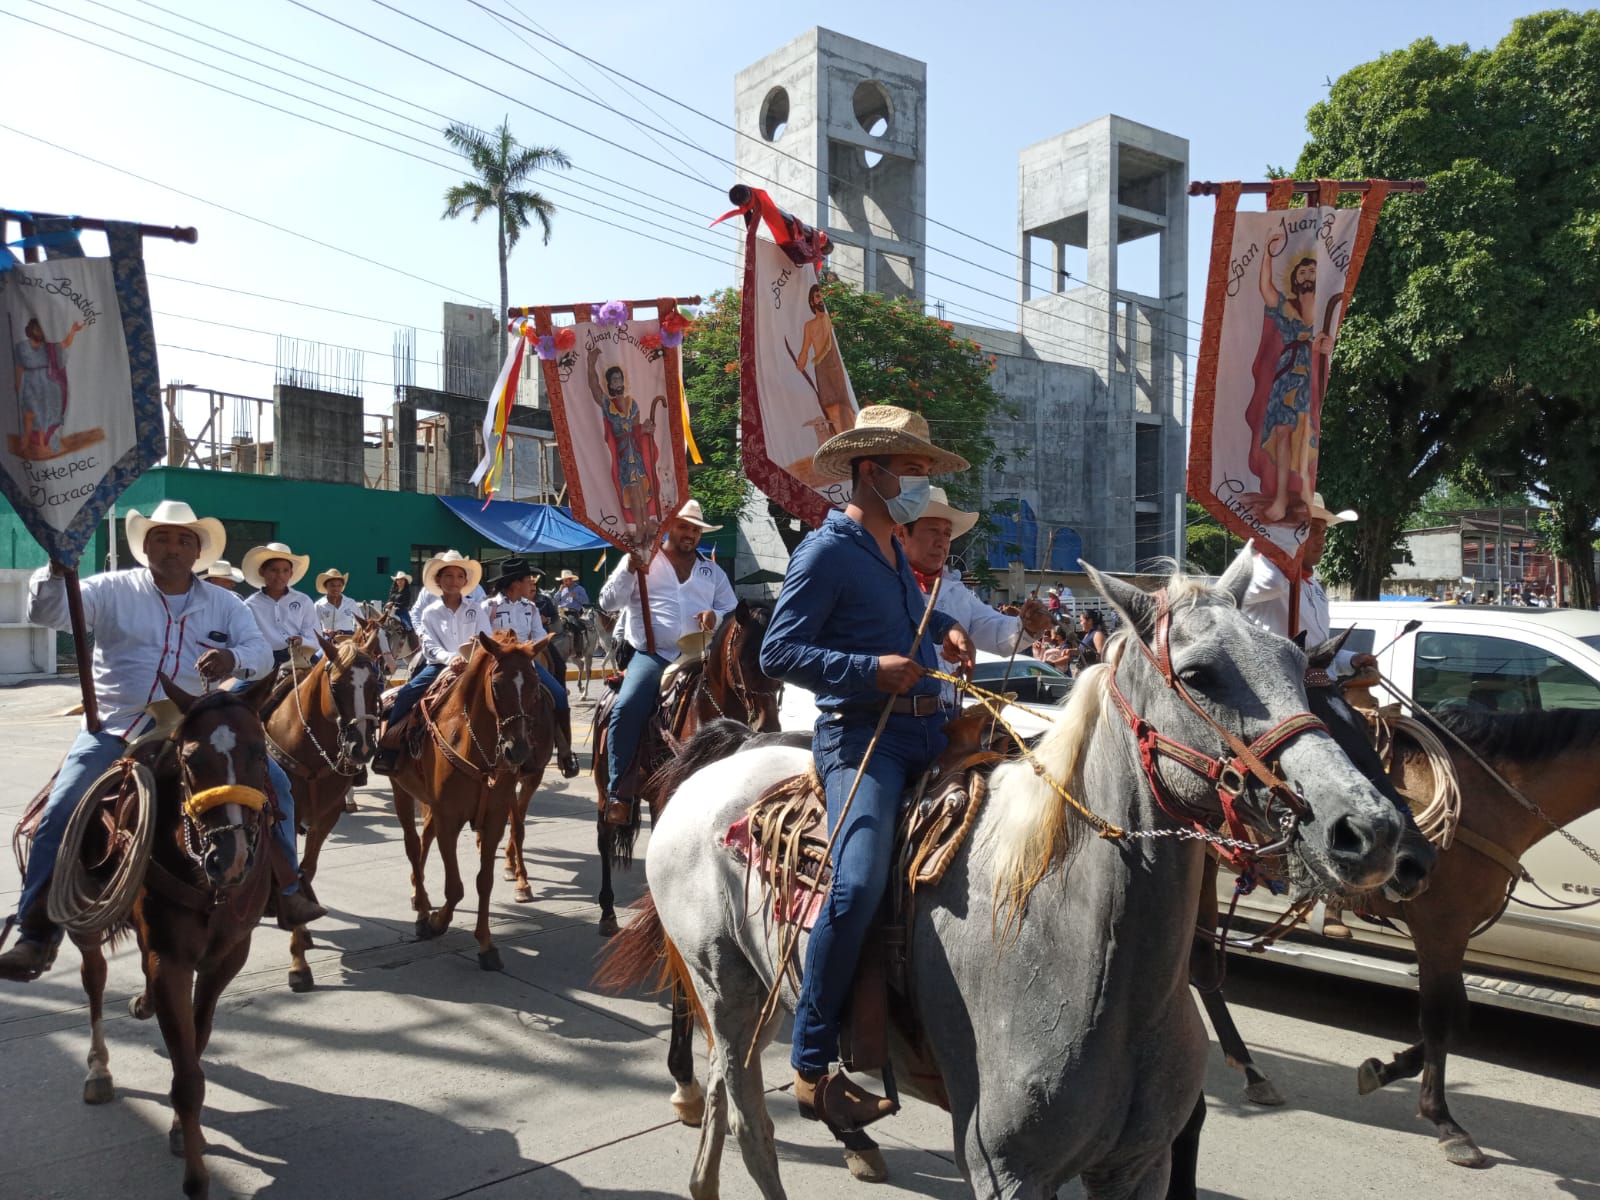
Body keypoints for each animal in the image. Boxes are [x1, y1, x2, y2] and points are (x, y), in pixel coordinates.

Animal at [59, 681, 276, 1196]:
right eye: (191, 759)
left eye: (260, 752)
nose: (230, 858)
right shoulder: (171, 960)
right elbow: (187, 1077)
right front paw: (196, 1176)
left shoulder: (226, 958)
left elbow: (196, 1044)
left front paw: (182, 1131)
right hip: (87, 920)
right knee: (94, 979)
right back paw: (99, 1069)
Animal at [267, 633, 385, 992]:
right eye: (336, 685)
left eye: (375, 683)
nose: (362, 747)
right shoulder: (285, 818)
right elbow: (292, 872)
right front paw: (298, 964)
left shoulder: (326, 817)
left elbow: (306, 870)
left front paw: (301, 933)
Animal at [388, 633, 556, 972]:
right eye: (497, 684)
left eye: (535, 686)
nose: (519, 751)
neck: (475, 748)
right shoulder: (449, 820)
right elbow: (455, 887)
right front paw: (437, 922)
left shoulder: (493, 820)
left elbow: (484, 882)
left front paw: (486, 945)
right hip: (401, 790)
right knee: (412, 845)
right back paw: (422, 908)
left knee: (424, 838)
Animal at [633, 556, 1401, 1200]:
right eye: (1200, 674)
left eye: (1295, 664)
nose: (1369, 828)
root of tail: (726, 756)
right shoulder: (1007, 1172)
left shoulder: (1138, 1166)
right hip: (725, 990)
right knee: (751, 1125)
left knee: (723, 1098)